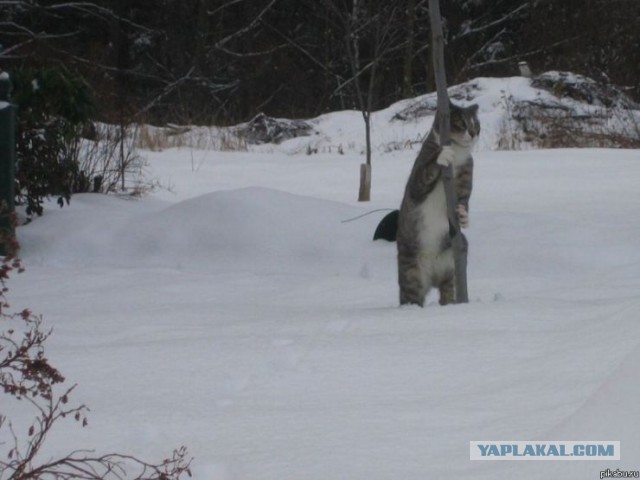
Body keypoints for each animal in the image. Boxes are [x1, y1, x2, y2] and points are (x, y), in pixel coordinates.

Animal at [396, 102, 480, 308]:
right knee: (411, 297)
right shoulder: (417, 181)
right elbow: (426, 172)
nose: (473, 133)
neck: (458, 157)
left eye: (476, 124)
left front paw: (463, 216)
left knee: (448, 293)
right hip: (411, 273)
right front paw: (442, 155)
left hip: (453, 269)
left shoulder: (467, 172)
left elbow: (464, 201)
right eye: (461, 123)